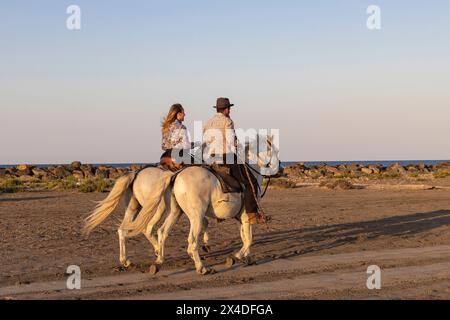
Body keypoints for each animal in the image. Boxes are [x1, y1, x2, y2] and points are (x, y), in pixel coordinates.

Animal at [122, 135, 278, 276]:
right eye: (274, 150)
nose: (279, 168)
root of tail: (175, 175)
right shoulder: (247, 214)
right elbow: (249, 238)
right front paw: (235, 257)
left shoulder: (241, 216)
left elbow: (245, 236)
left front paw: (249, 258)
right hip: (192, 215)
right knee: (189, 241)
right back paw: (202, 268)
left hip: (173, 212)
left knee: (160, 231)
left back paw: (157, 261)